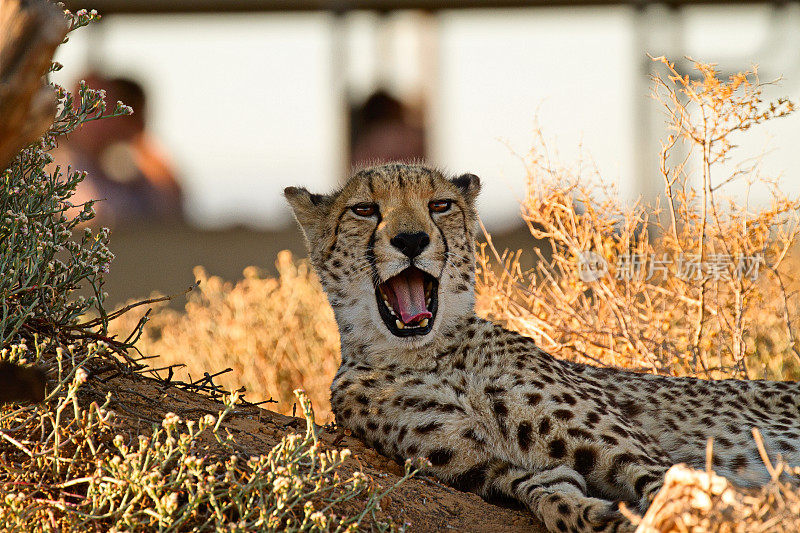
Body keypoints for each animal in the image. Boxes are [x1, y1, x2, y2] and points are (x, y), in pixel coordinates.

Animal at [284, 163, 796, 532]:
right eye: (364, 210)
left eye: (440, 205)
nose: (411, 239)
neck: (429, 355)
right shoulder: (488, 470)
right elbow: (548, 490)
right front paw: (593, 515)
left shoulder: (641, 455)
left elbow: (667, 484)